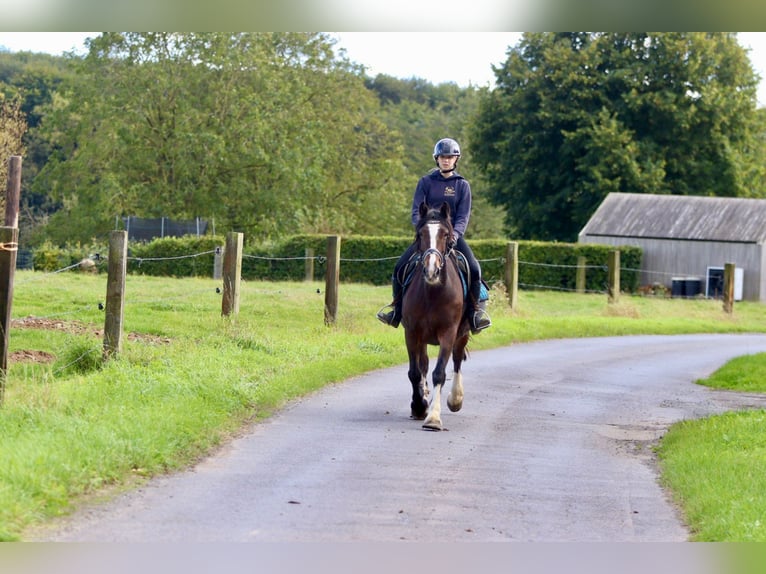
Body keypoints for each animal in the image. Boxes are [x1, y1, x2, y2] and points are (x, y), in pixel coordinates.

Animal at [402, 202, 474, 432]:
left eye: (446, 234)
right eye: (420, 234)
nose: (431, 270)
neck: (433, 292)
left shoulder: (448, 333)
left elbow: (440, 372)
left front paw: (433, 418)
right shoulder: (412, 332)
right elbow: (415, 372)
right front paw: (419, 406)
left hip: (462, 334)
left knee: (457, 360)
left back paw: (455, 399)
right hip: (423, 338)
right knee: (423, 364)